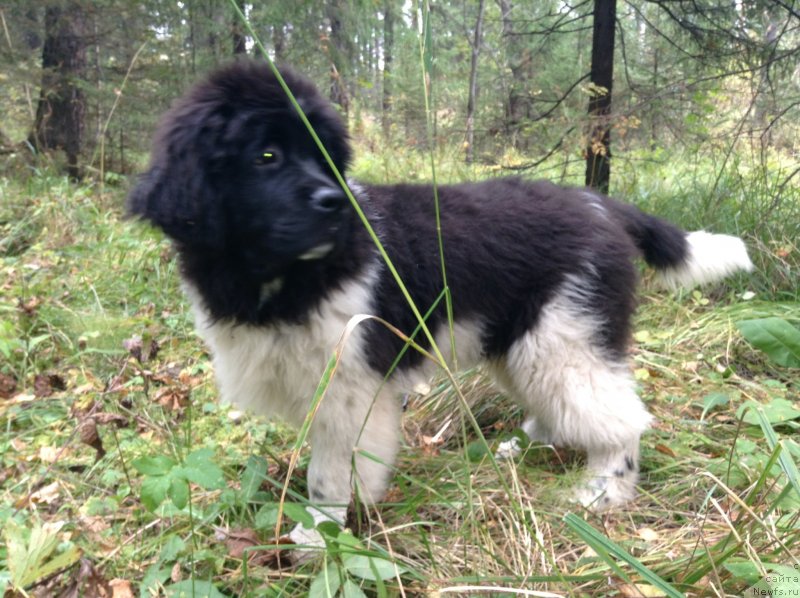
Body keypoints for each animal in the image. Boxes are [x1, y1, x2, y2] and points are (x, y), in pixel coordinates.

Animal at [128, 59, 752, 552]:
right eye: (266, 154)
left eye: (325, 157)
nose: (334, 204)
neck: (286, 277)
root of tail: (602, 204)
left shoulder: (350, 388)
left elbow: (329, 475)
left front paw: (318, 541)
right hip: (523, 340)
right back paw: (529, 443)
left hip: (564, 335)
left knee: (620, 418)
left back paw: (605, 491)